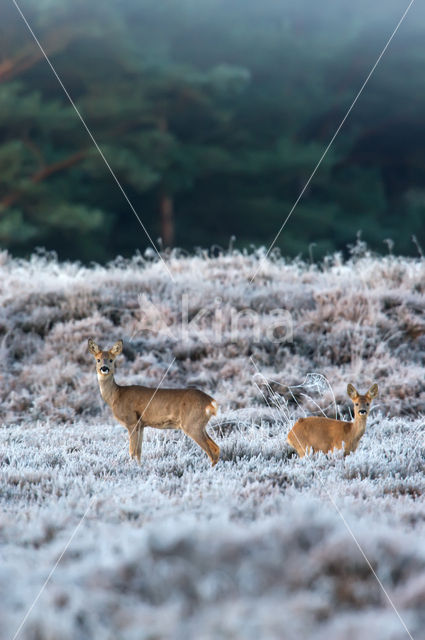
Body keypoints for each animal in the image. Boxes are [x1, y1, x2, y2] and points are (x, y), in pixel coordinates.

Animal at [86, 340, 219, 464]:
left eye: (111, 360)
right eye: (98, 360)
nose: (104, 368)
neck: (116, 395)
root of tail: (211, 401)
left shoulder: (131, 421)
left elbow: (132, 452)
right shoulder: (141, 425)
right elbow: (138, 452)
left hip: (192, 424)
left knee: (212, 452)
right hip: (200, 425)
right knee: (216, 448)